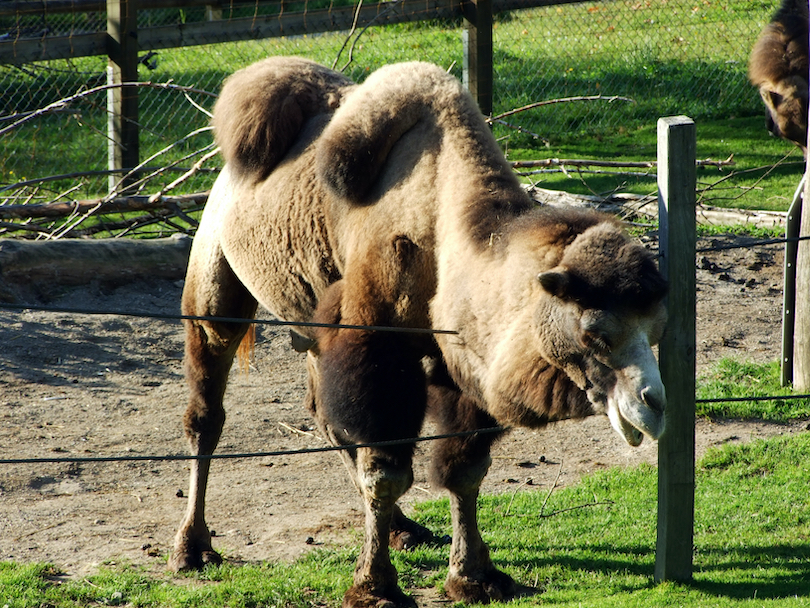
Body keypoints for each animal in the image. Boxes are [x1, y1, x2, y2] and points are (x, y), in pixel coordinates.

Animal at [169, 54, 664, 604]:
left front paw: (474, 575)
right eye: (594, 332)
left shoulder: (459, 359)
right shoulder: (376, 341)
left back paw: (405, 529)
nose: (654, 406)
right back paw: (191, 548)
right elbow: (386, 471)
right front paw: (375, 587)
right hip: (214, 277)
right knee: (207, 410)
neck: (442, 226)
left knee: (325, 416)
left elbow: (463, 469)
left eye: (654, 330)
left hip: (314, 321)